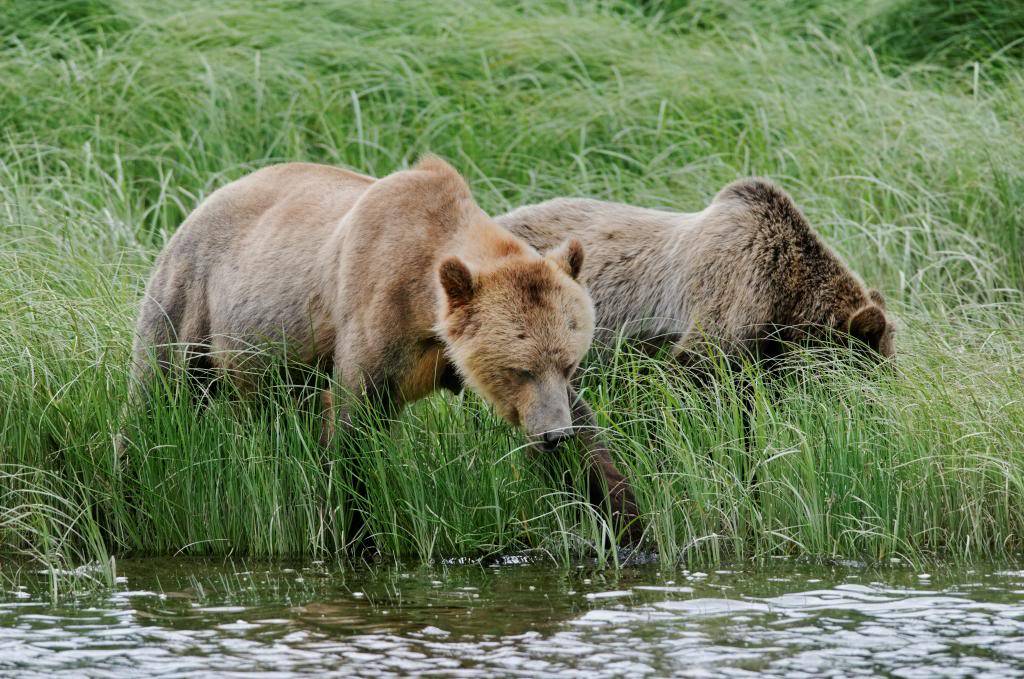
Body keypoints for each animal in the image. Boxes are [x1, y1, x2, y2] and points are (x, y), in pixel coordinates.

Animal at [125, 157, 638, 536]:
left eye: (569, 364)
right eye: (518, 368)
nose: (553, 435)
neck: (427, 309)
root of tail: (197, 205)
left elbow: (591, 442)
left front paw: (625, 520)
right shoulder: (375, 310)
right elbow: (352, 431)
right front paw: (353, 529)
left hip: (278, 361)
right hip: (193, 302)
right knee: (157, 400)